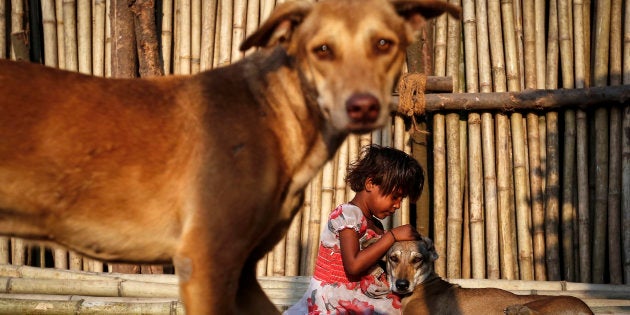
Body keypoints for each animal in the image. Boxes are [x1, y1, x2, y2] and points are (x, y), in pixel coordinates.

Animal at [1, 0, 464, 315]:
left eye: (384, 43)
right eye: (322, 50)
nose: (362, 106)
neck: (273, 114)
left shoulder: (243, 271)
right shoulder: (206, 263)